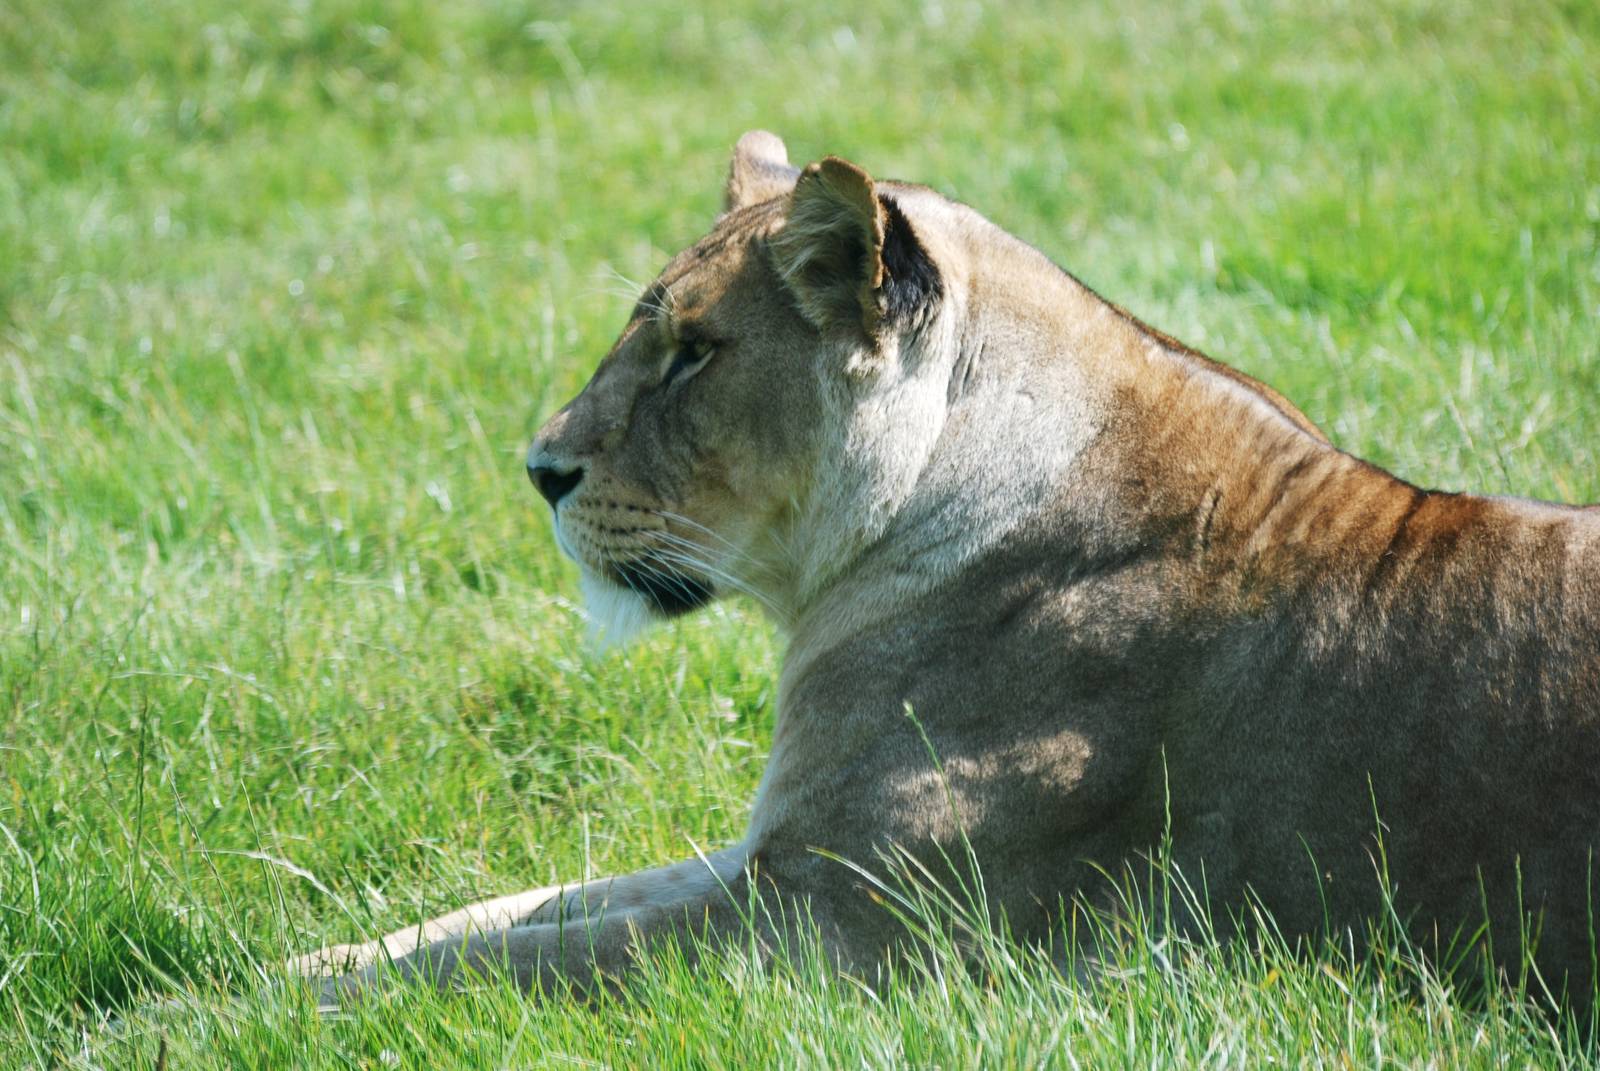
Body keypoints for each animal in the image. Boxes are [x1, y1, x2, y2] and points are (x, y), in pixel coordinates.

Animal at [299, 131, 1600, 1009]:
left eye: (694, 353)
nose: (539, 469)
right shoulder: (779, 852)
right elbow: (517, 910)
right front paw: (313, 950)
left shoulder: (838, 927)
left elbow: (524, 958)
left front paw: (273, 1006)